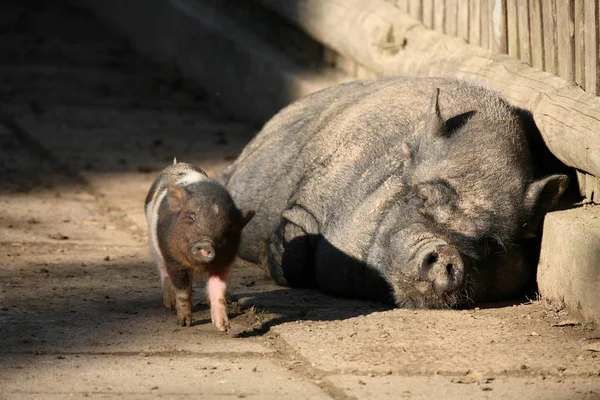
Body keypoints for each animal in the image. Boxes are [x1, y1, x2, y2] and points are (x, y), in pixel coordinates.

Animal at [148, 161, 255, 330]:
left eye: (229, 228)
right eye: (191, 216)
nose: (206, 243)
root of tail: (177, 163)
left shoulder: (224, 264)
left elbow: (218, 291)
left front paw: (224, 327)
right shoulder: (173, 260)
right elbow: (182, 290)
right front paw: (184, 324)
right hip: (155, 246)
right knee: (163, 270)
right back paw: (169, 305)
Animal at [217, 79, 568, 310]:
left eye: (493, 244)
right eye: (421, 196)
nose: (448, 253)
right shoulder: (306, 203)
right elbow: (293, 253)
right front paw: (269, 256)